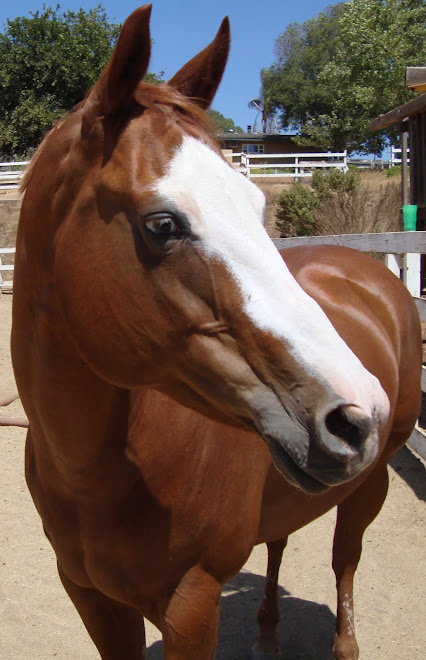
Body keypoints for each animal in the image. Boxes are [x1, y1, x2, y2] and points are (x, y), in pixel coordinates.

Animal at [11, 6, 421, 659]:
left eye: (255, 204)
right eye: (163, 223)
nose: (358, 413)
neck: (98, 476)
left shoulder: (193, 602)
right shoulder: (91, 597)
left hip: (368, 486)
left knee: (345, 562)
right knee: (279, 541)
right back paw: (267, 635)